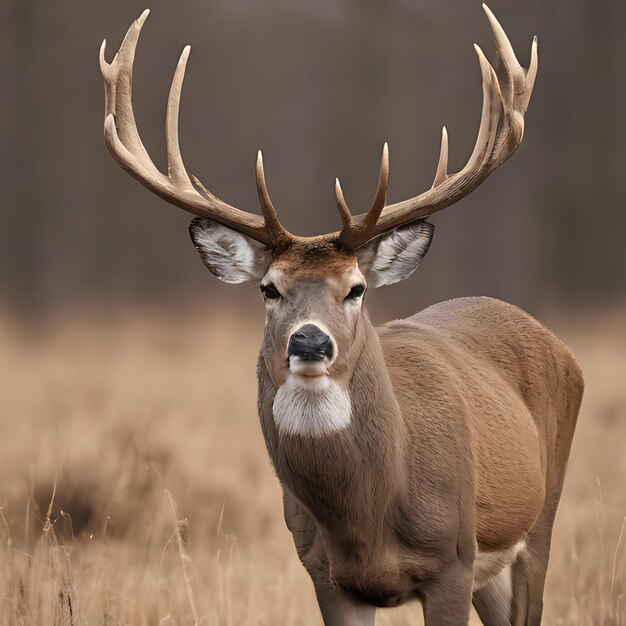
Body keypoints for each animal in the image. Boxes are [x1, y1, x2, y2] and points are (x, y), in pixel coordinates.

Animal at [100, 6, 584, 624]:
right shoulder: (323, 573)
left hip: (539, 519)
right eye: (269, 289)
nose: (310, 342)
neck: (368, 519)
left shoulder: (452, 560)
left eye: (356, 289)